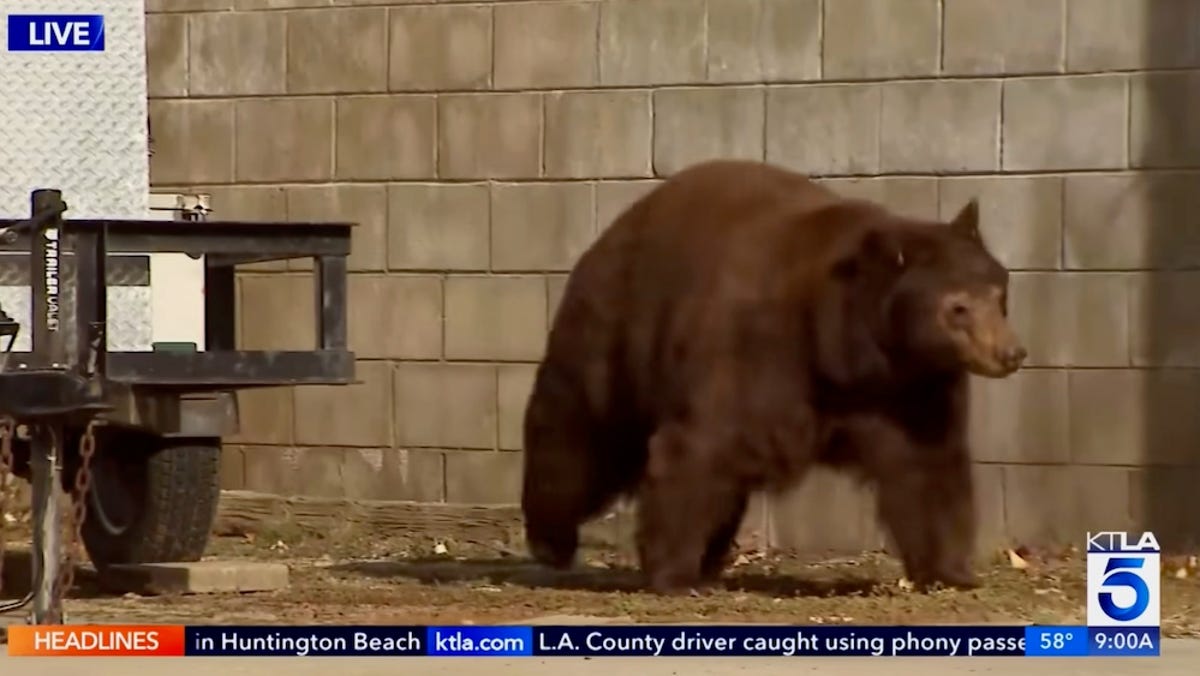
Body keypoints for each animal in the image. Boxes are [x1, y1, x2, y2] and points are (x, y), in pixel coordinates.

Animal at [520, 159, 1026, 595]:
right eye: (958, 306)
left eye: (999, 294)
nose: (1011, 353)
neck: (848, 348)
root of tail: (614, 230)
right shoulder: (755, 351)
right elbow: (697, 448)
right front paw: (673, 573)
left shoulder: (910, 389)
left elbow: (927, 465)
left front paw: (951, 570)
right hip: (617, 336)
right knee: (577, 433)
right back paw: (552, 540)